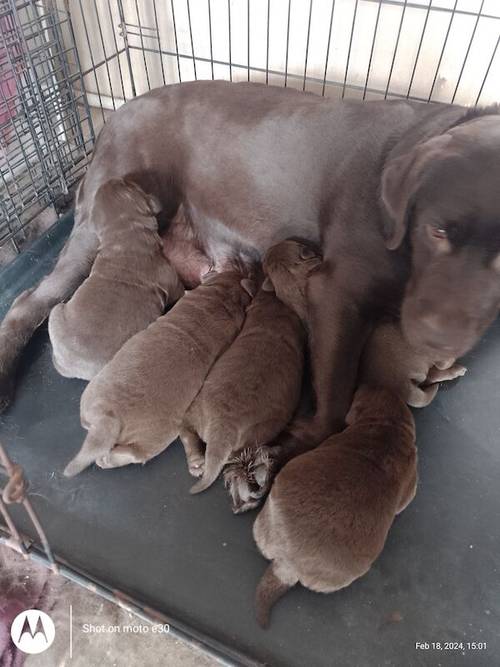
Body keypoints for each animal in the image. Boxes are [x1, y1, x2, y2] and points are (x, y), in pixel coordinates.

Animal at [47, 179, 182, 380]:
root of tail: (66, 363)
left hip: (55, 311)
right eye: (130, 183)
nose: (114, 179)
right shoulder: (169, 277)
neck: (124, 238)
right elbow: (180, 290)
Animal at [182, 237, 322, 504]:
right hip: (260, 432)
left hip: (194, 409)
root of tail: (222, 431)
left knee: (187, 433)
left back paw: (196, 462)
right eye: (294, 241)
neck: (279, 299)